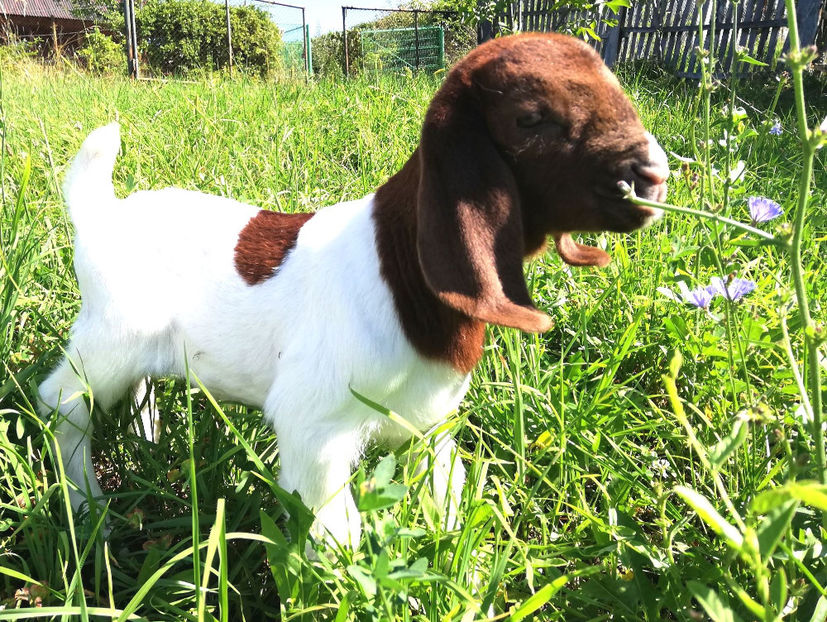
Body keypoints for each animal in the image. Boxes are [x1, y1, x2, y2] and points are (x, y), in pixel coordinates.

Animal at [39, 32, 668, 548]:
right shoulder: (313, 426)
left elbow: (446, 489)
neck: (401, 274)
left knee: (138, 386)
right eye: (531, 118)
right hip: (110, 335)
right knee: (61, 402)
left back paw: (143, 447)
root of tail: (102, 214)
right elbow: (337, 533)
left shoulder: (429, 421)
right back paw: (87, 508)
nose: (654, 176)